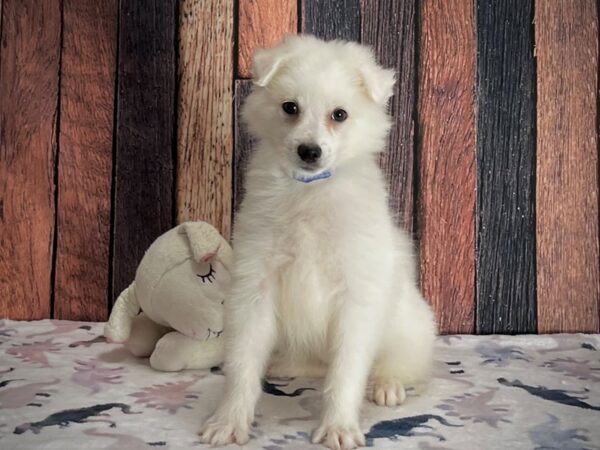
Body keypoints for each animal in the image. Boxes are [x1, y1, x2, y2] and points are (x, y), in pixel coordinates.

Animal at [200, 34, 436, 450]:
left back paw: (386, 385)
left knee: (402, 363)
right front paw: (229, 421)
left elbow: (346, 373)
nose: (309, 151)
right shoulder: (255, 286)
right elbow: (242, 363)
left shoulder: (356, 295)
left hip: (408, 326)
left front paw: (338, 427)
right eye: (290, 107)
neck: (309, 191)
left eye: (339, 114)